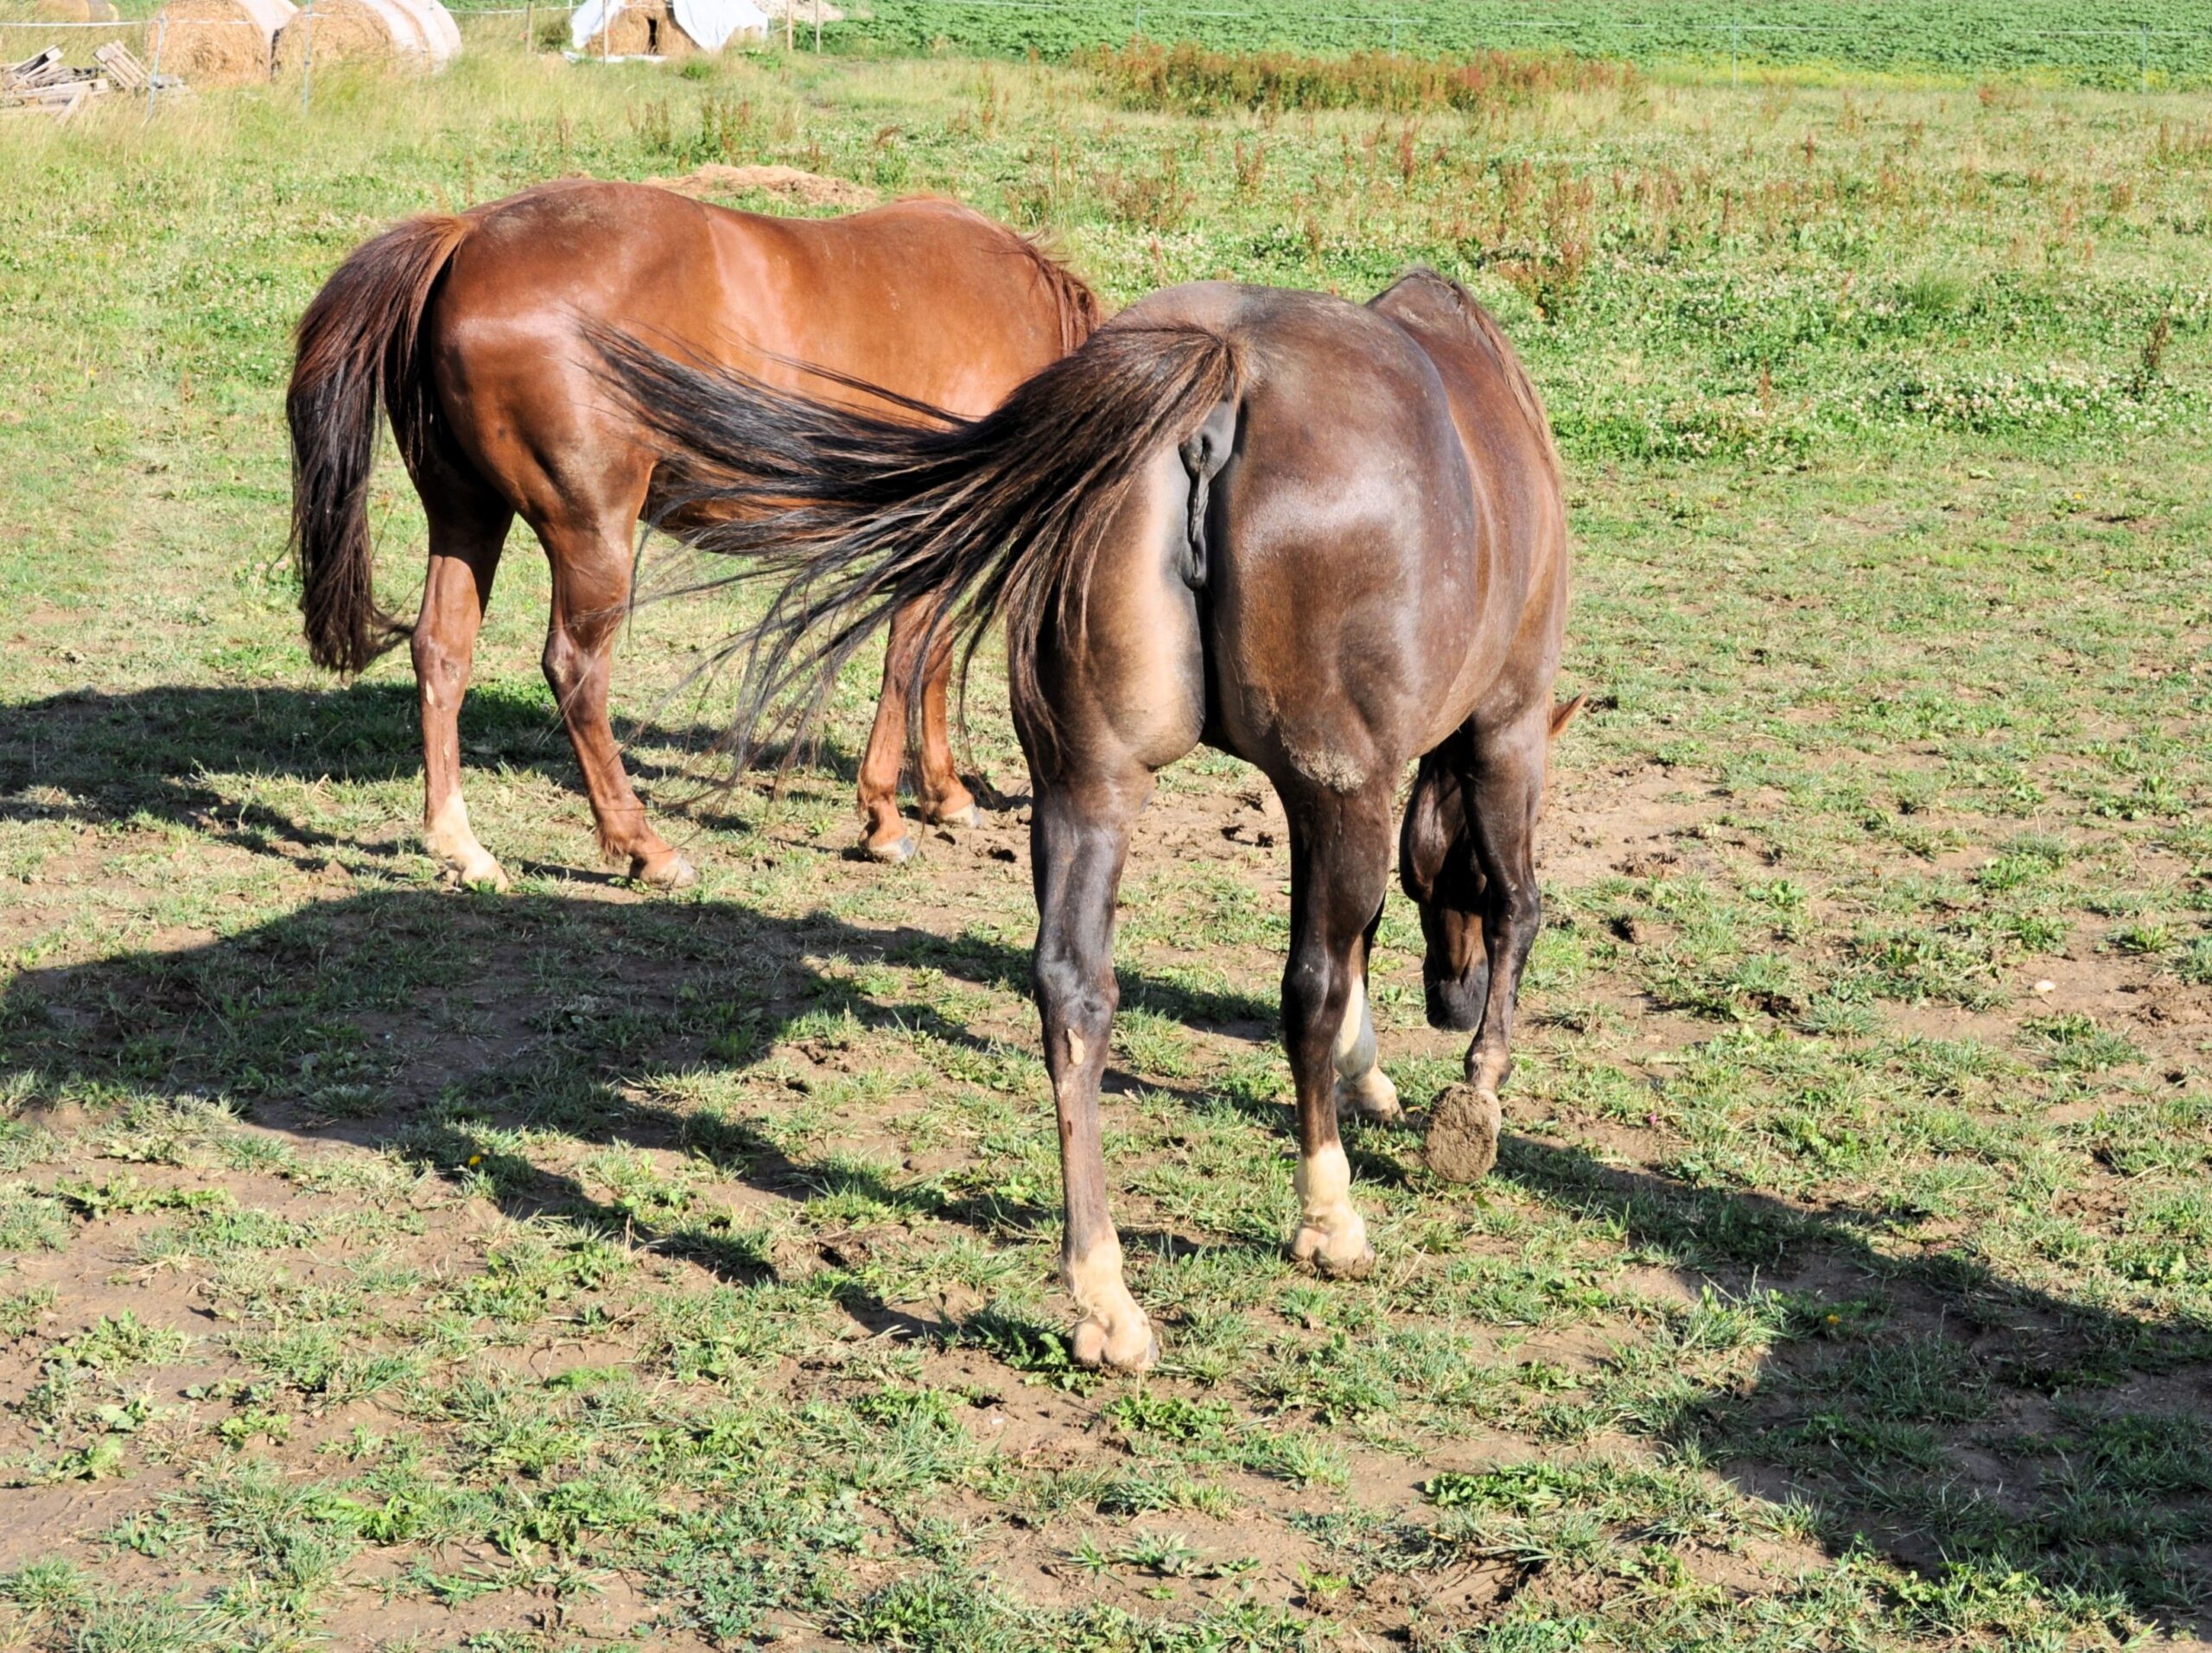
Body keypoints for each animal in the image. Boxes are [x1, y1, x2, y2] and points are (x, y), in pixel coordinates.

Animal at [285, 179, 1099, 887]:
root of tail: (468, 237)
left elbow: (927, 655)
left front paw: (945, 795)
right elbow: (908, 659)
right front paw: (885, 817)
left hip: (467, 514)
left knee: (441, 652)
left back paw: (462, 846)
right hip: (590, 535)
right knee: (575, 671)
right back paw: (646, 846)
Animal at [596, 269, 1571, 1374]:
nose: (1447, 999)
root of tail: (1220, 372)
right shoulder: (1497, 731)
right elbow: (1509, 908)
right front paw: (1473, 1097)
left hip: (1090, 781)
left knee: (1074, 991)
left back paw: (1103, 1296)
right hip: (1336, 776)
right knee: (1307, 988)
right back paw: (1326, 1216)